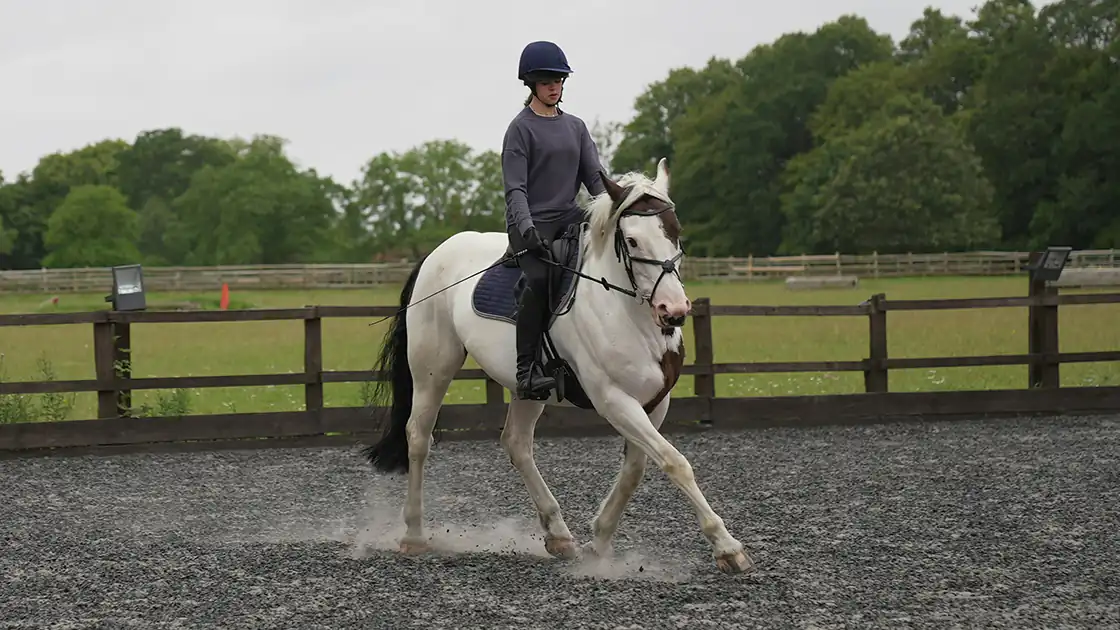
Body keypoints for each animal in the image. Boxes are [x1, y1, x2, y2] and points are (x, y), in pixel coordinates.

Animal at [360, 158, 753, 574]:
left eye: (675, 232)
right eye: (632, 241)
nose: (674, 311)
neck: (626, 311)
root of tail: (437, 253)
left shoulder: (654, 403)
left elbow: (635, 470)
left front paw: (600, 540)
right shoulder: (613, 400)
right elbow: (675, 463)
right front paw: (727, 548)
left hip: (528, 387)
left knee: (517, 443)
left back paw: (559, 534)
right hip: (433, 368)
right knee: (418, 437)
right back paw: (414, 535)